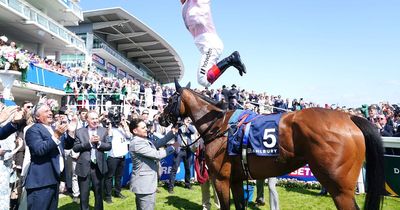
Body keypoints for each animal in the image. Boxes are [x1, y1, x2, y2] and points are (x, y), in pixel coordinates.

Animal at [159, 79, 384, 209]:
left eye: (170, 100)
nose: (161, 119)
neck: (219, 126)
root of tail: (350, 118)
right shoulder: (236, 179)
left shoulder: (221, 179)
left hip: (339, 188)